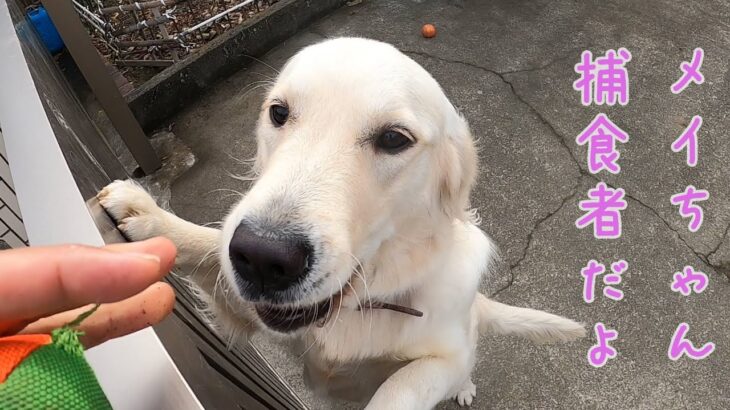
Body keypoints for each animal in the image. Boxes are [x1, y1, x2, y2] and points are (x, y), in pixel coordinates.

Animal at [98, 37, 584, 406]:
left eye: (394, 139)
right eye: (278, 113)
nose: (263, 257)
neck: (360, 304)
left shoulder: (444, 358)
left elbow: (401, 387)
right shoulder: (249, 314)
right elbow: (209, 245)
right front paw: (149, 217)